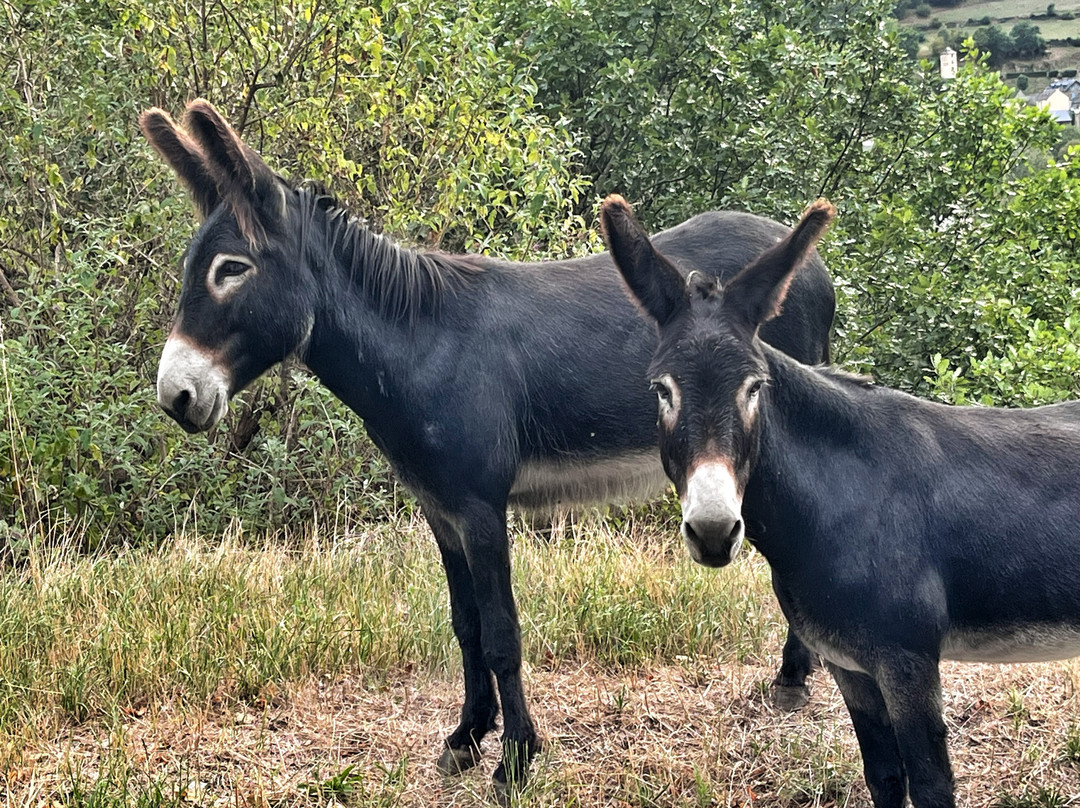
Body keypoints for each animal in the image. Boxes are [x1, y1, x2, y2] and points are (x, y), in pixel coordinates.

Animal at [138, 99, 835, 792]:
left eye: (232, 270)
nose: (174, 396)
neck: (423, 346)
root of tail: (814, 267)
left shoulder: (480, 507)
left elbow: (501, 632)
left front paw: (517, 758)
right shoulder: (440, 508)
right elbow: (466, 625)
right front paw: (468, 736)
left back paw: (792, 678)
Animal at [601, 194, 1080, 807]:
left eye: (754, 388)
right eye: (662, 390)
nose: (712, 531)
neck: (839, 498)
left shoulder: (908, 664)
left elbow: (930, 786)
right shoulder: (848, 666)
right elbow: (885, 778)